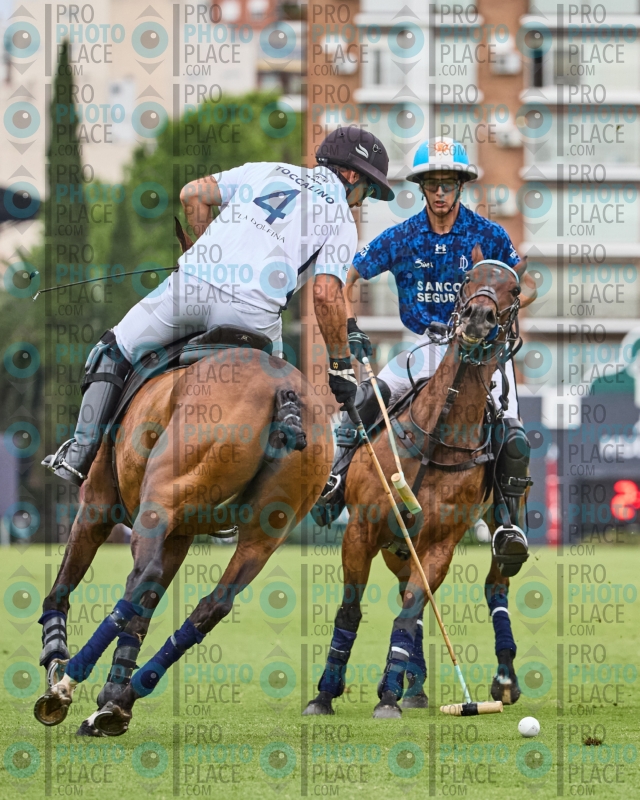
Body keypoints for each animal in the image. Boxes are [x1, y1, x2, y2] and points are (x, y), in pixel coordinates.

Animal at [35, 339, 331, 736]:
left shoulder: (97, 505)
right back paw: (121, 700)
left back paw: (66, 686)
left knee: (141, 576)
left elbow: (65, 584)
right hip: (263, 536)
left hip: (160, 499)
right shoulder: (179, 534)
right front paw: (112, 695)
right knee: (212, 604)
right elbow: (144, 612)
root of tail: (284, 391)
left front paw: (55, 657)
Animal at [304, 254, 530, 718]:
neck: (435, 437)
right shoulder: (361, 531)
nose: (478, 317)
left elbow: (407, 616)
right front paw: (325, 693)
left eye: (514, 289)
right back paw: (416, 687)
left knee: (495, 585)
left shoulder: (440, 543)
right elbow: (350, 612)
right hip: (396, 544)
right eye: (469, 279)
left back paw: (501, 682)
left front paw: (388, 696)